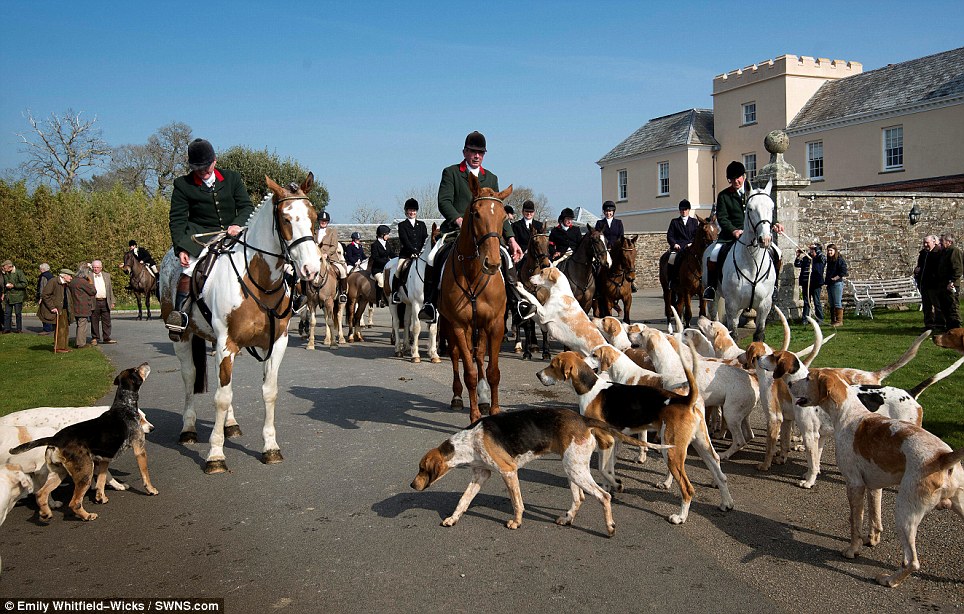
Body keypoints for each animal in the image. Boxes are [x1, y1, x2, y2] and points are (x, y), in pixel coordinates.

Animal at [158, 174, 322, 476]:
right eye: (285, 219)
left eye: (314, 217)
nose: (311, 269)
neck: (258, 280)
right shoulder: (227, 343)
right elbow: (221, 397)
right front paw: (215, 455)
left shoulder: (275, 343)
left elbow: (268, 392)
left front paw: (270, 447)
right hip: (184, 337)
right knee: (189, 376)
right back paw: (189, 428)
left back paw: (230, 425)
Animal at [436, 173, 512, 424]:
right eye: (476, 213)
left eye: (503, 216)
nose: (493, 263)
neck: (473, 271)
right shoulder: (460, 326)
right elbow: (468, 370)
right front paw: (474, 414)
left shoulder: (495, 324)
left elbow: (493, 371)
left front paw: (493, 409)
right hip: (451, 325)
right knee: (457, 356)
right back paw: (458, 397)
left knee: (478, 356)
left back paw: (484, 397)